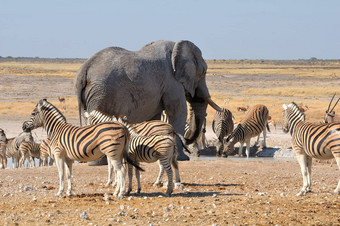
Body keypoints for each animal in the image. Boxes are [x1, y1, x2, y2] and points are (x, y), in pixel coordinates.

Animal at [74, 40, 223, 161]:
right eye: (203, 72)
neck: (177, 47)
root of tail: (83, 70)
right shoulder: (172, 81)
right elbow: (178, 112)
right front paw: (182, 158)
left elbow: (155, 118)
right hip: (102, 93)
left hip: (94, 94)